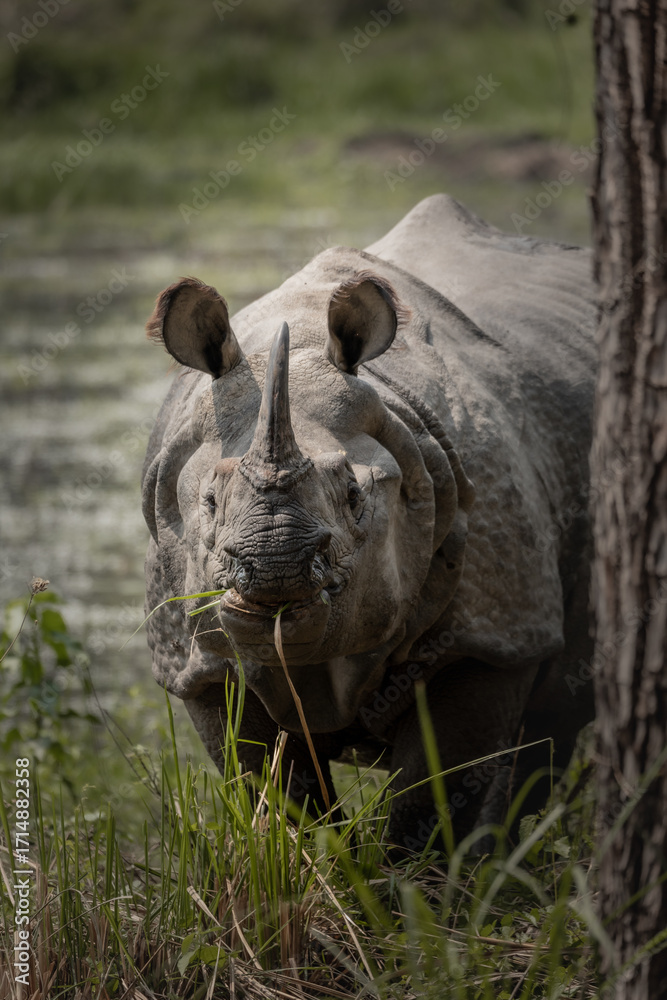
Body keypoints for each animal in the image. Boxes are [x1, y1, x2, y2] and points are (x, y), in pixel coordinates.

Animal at [142, 194, 596, 849]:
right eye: (207, 501)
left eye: (356, 495)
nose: (271, 570)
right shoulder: (195, 663)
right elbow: (275, 787)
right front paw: (316, 858)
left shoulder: (493, 635)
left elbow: (429, 803)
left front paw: (412, 877)